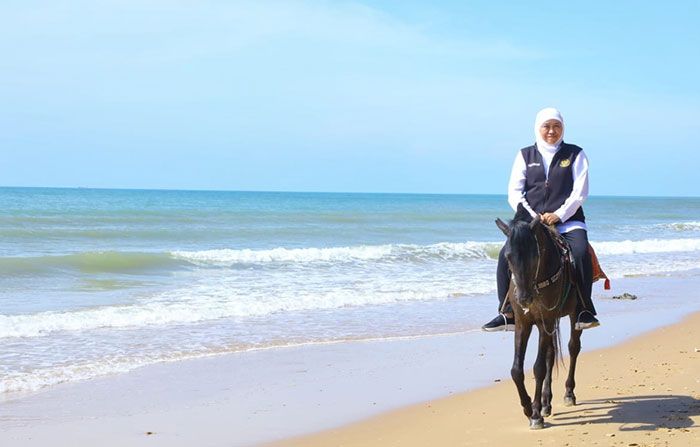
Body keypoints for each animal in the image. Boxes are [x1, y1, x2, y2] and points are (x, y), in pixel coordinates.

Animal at [494, 206, 584, 430]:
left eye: (534, 256)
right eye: (508, 257)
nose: (524, 298)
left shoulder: (545, 322)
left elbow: (539, 367)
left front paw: (535, 414)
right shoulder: (523, 323)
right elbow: (517, 370)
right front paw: (528, 408)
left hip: (571, 316)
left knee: (573, 348)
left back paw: (568, 394)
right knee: (552, 354)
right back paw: (546, 402)